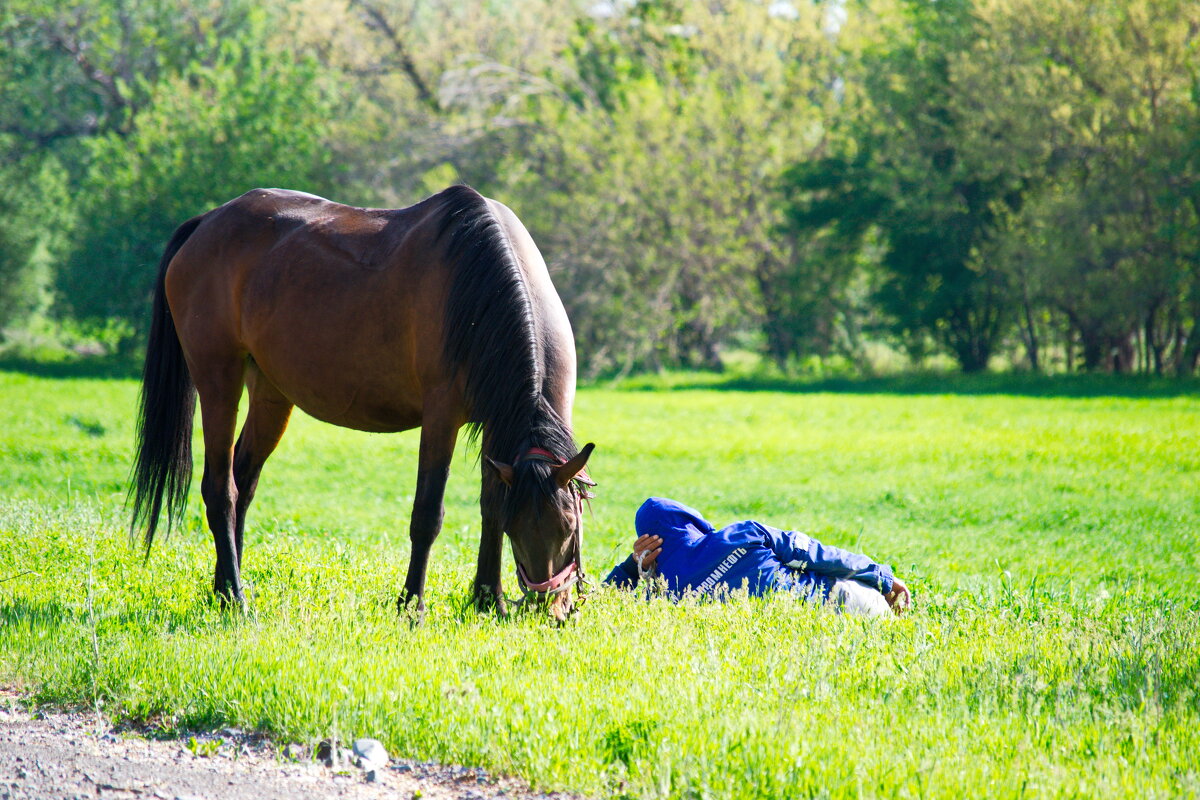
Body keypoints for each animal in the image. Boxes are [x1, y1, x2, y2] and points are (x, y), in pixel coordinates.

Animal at [130, 185, 595, 618]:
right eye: (523, 528)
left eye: (570, 525)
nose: (550, 609)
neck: (480, 291)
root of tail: (206, 223)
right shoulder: (441, 418)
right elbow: (428, 514)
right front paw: (412, 604)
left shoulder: (499, 427)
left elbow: (490, 505)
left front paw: (487, 599)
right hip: (218, 379)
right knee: (221, 489)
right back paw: (236, 596)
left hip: (270, 393)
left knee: (243, 482)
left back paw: (224, 588)